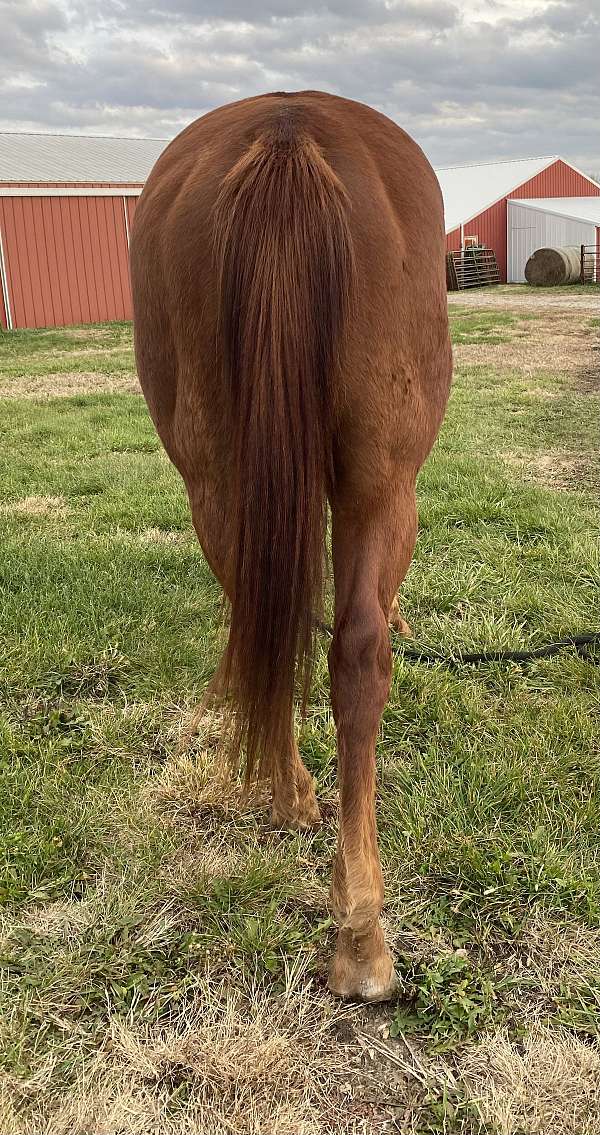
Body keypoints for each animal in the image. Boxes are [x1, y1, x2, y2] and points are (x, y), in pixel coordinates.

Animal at [130, 90, 452, 1002]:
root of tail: (289, 127)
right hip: (383, 482)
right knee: (357, 655)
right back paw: (362, 932)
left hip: (217, 478)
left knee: (260, 622)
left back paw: (293, 801)